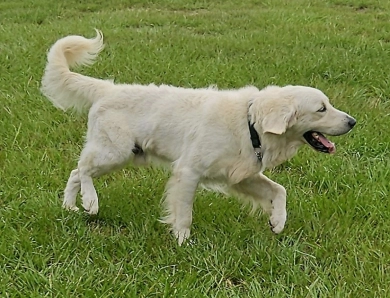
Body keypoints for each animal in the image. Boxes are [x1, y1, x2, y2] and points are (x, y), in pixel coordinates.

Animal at [41, 30, 354, 244]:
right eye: (321, 109)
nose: (353, 122)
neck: (249, 122)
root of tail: (107, 88)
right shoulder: (188, 172)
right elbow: (184, 213)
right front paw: (183, 241)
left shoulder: (241, 175)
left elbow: (279, 190)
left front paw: (277, 222)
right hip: (114, 152)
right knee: (82, 169)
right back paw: (90, 201)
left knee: (74, 173)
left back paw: (71, 206)